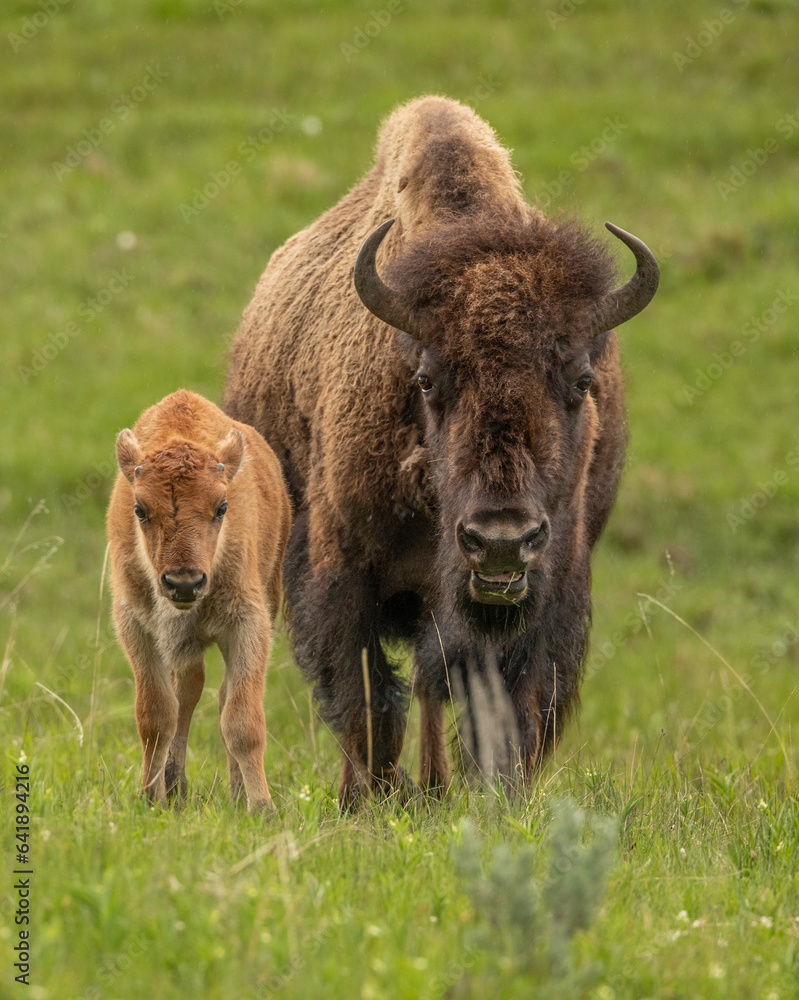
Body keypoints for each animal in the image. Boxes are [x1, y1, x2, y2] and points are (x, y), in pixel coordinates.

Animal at [107, 390, 291, 811]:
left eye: (222, 507)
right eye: (139, 509)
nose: (184, 584)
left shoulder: (249, 624)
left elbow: (241, 720)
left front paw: (263, 808)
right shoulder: (135, 626)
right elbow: (156, 715)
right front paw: (150, 798)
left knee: (219, 697)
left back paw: (235, 794)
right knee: (186, 694)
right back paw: (174, 786)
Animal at [223, 96, 659, 806]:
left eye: (581, 379)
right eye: (426, 378)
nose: (501, 540)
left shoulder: (548, 586)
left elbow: (502, 699)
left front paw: (498, 796)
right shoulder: (340, 566)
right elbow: (365, 696)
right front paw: (365, 798)